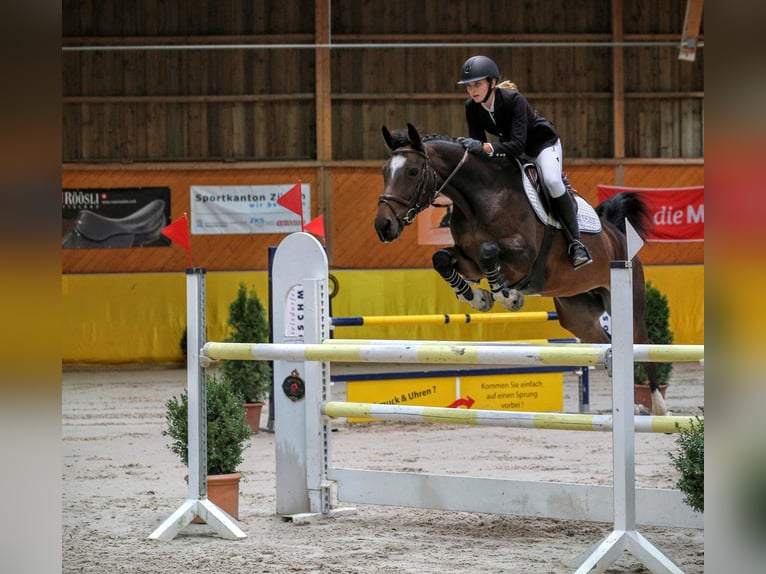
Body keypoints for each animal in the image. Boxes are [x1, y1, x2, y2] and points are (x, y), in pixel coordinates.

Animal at [378, 124, 672, 416]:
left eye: (412, 171)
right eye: (384, 171)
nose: (383, 226)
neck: (480, 199)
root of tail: (616, 234)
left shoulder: (524, 256)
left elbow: (489, 250)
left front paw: (507, 296)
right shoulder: (469, 262)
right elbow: (441, 258)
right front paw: (478, 298)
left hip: (628, 302)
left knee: (643, 345)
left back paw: (658, 406)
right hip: (577, 314)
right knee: (604, 342)